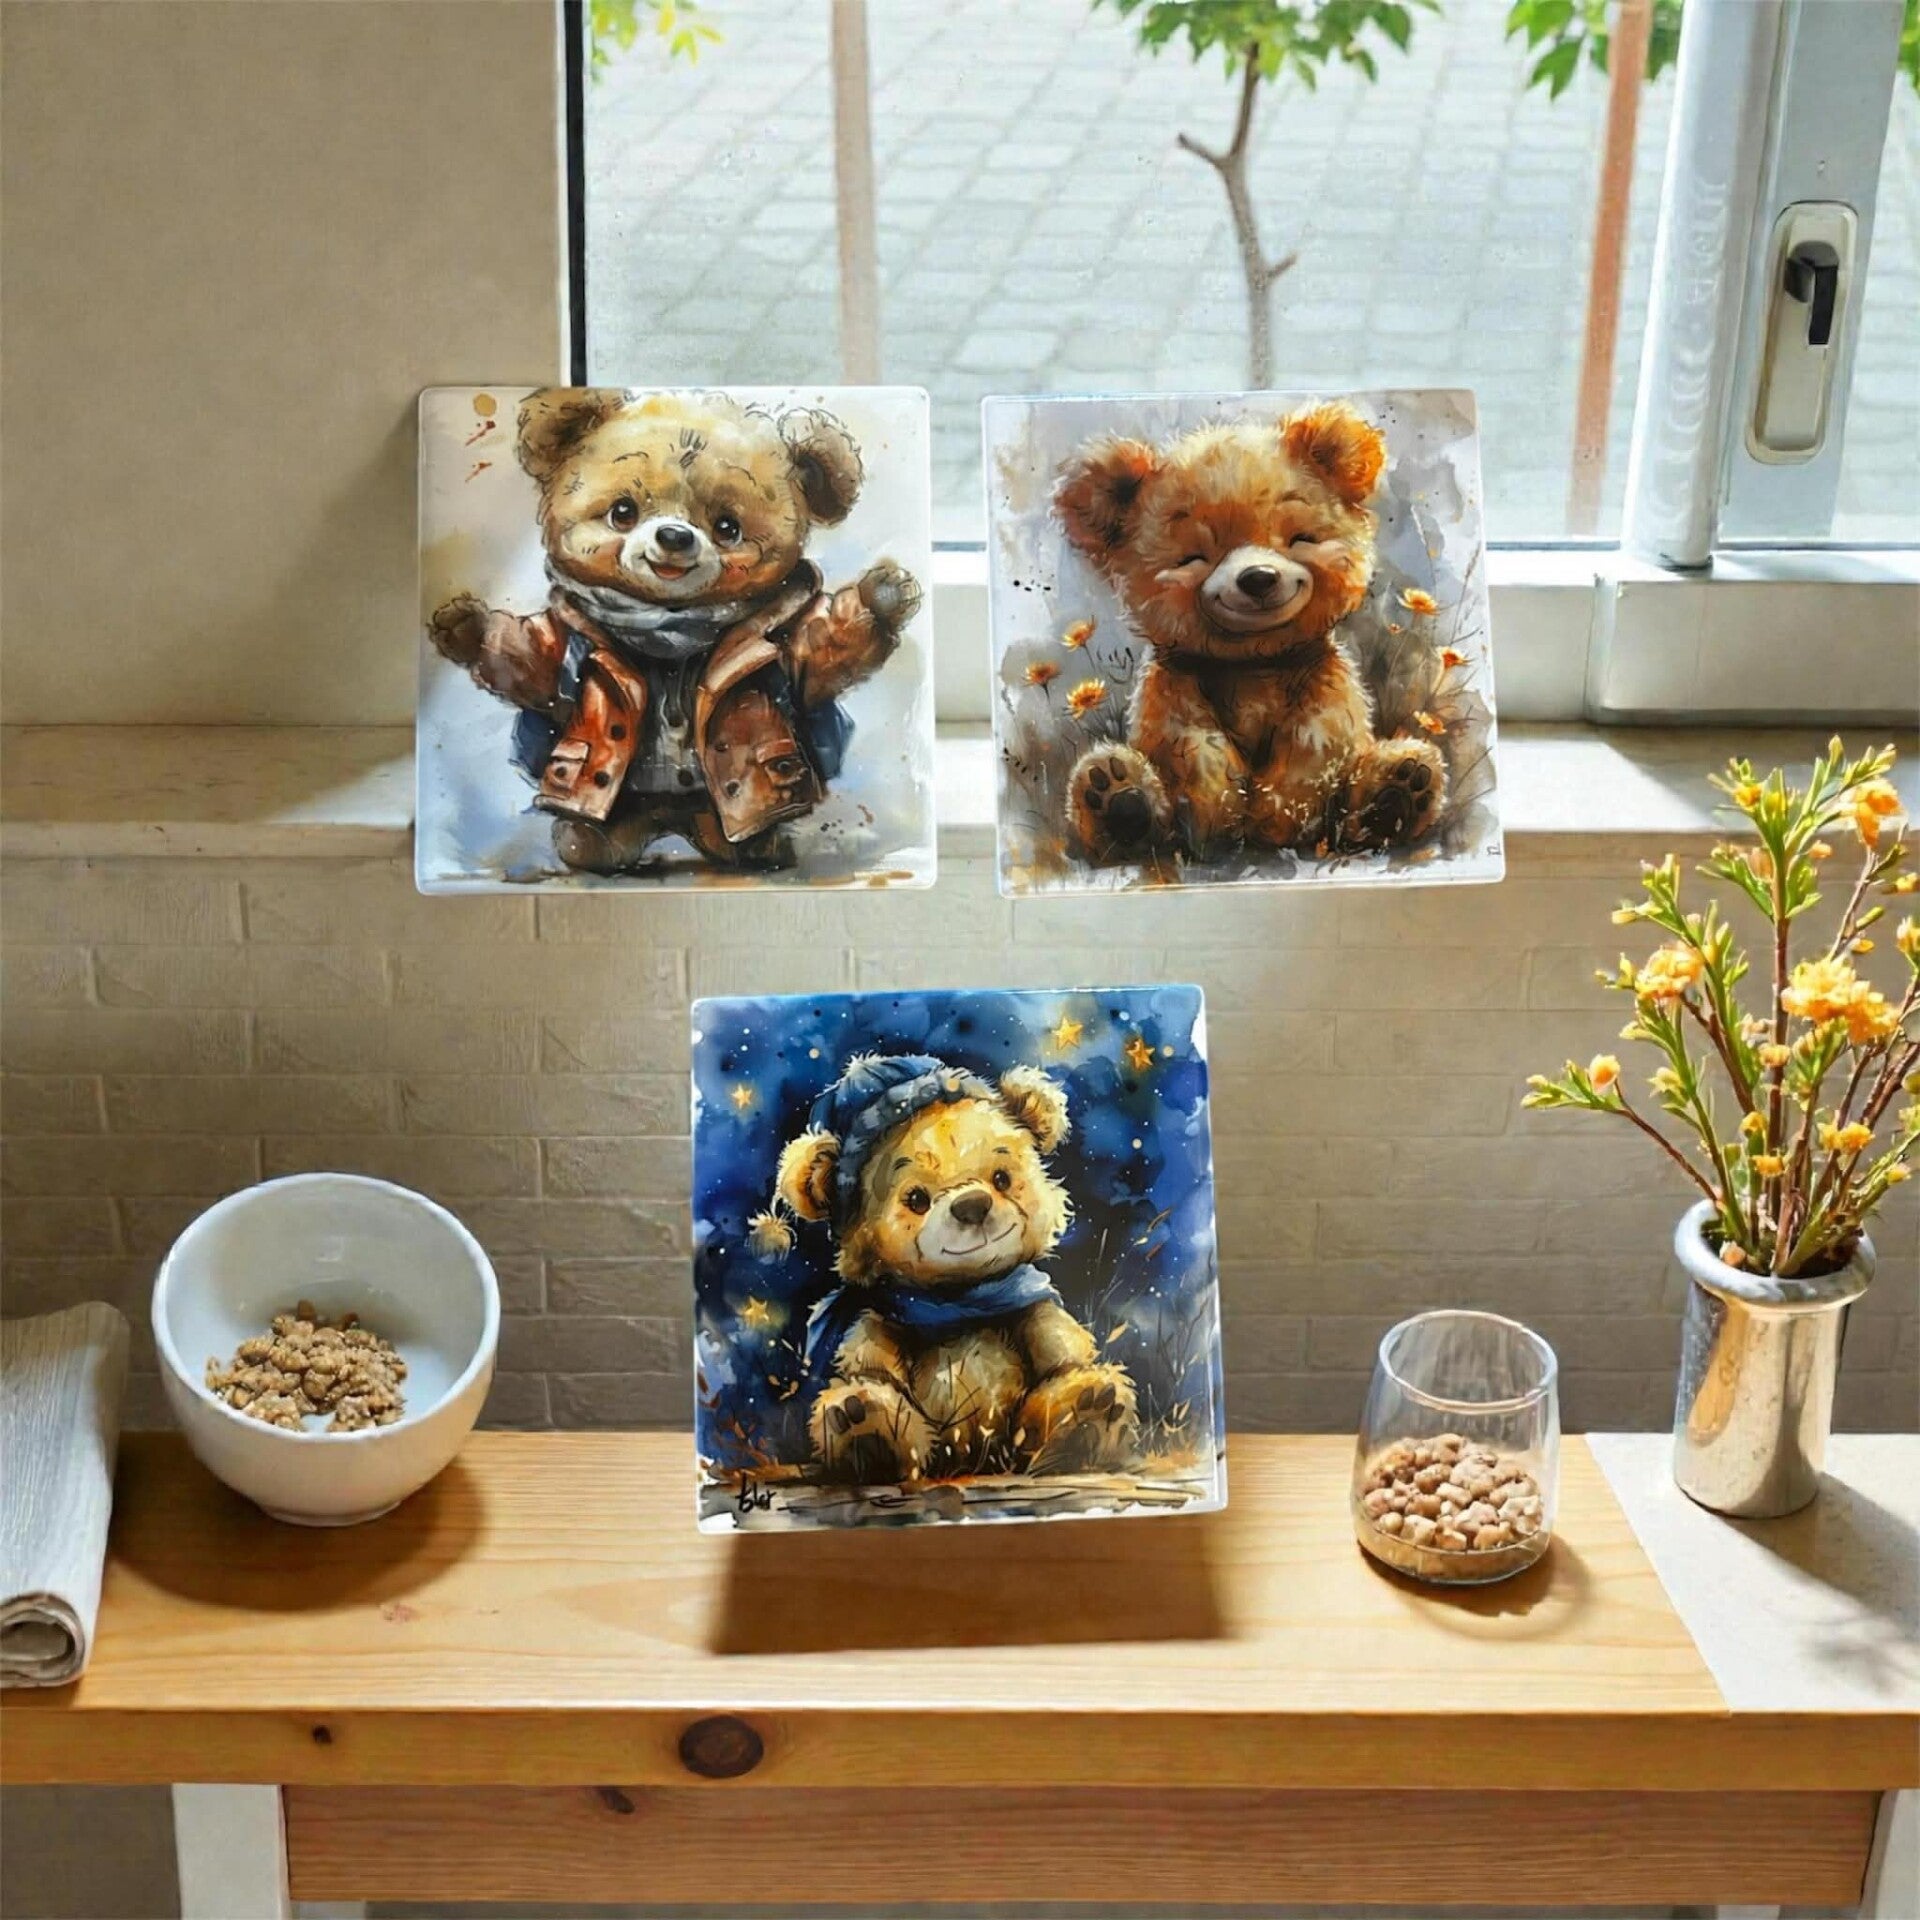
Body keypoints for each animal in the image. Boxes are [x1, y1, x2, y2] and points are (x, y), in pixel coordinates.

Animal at [428, 389, 921, 874]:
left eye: (728, 528)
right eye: (622, 512)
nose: (674, 537)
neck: (670, 630)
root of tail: (671, 817)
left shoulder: (787, 648)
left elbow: (818, 656)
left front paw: (883, 598)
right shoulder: (569, 648)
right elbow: (532, 661)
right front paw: (466, 627)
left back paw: (754, 847)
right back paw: (588, 844)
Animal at [767, 1052, 1139, 1486]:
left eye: (1001, 1178)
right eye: (916, 1199)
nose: (973, 1204)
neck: (960, 1301)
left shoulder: (1033, 1310)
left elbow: (1062, 1352)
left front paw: (1082, 1394)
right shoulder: (877, 1324)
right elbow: (871, 1370)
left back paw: (1087, 1415)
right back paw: (864, 1430)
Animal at [1051, 401, 1446, 866]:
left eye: (1299, 538)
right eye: (1193, 558)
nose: (1258, 577)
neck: (1254, 662)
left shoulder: (1318, 676)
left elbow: (1320, 737)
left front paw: (1279, 815)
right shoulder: (1178, 682)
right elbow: (1186, 741)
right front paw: (1221, 810)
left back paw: (1399, 790)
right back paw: (1118, 799)